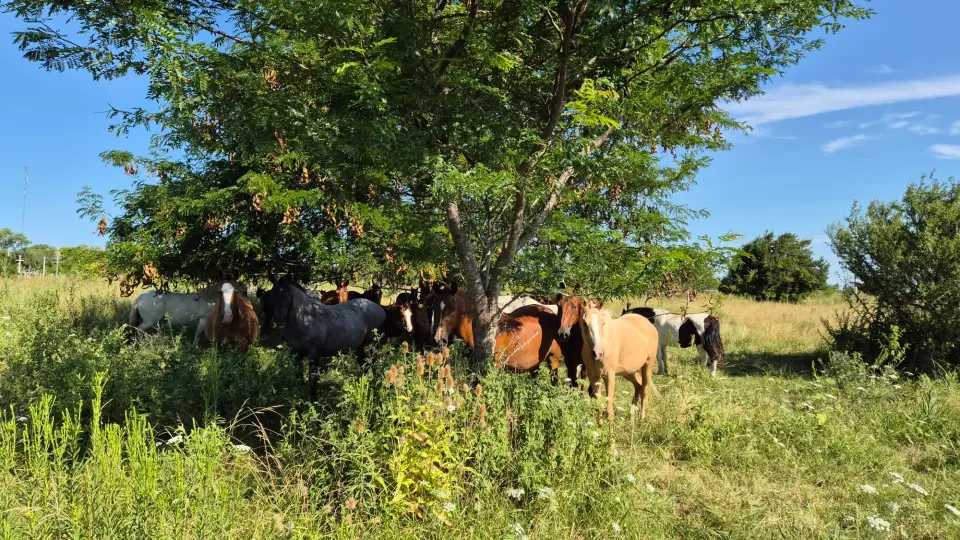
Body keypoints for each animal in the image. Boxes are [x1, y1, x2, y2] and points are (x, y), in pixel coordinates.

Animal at [258, 277, 387, 400]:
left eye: (289, 294)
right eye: (273, 294)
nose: (280, 318)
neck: (306, 317)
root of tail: (379, 308)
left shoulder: (314, 354)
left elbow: (312, 379)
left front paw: (313, 401)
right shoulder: (296, 354)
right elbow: (299, 376)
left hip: (373, 345)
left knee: (374, 363)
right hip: (359, 347)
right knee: (364, 365)